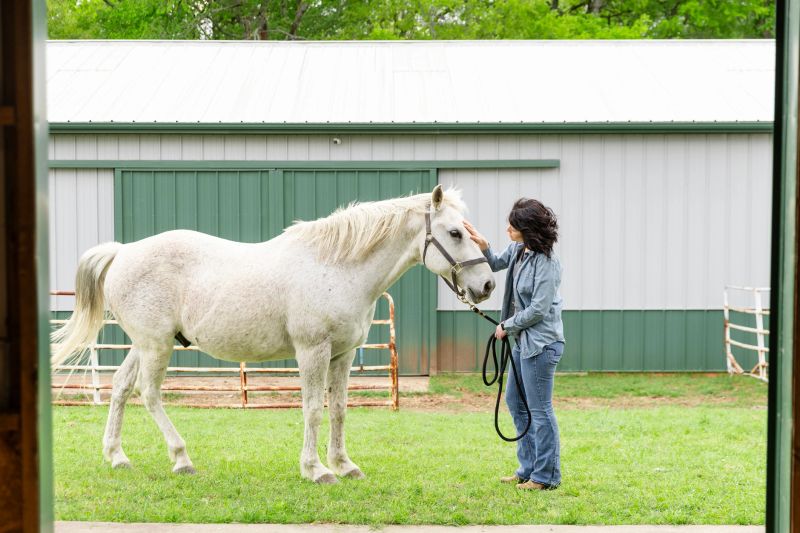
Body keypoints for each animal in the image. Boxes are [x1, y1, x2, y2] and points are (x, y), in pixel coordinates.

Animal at [52, 185, 495, 483]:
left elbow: (338, 410)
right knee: (149, 393)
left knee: (121, 387)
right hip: (156, 346)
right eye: (455, 233)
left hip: (144, 344)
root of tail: (123, 251)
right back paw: (181, 458)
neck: (336, 267)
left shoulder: (343, 355)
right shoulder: (312, 352)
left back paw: (117, 456)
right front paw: (316, 469)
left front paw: (344, 465)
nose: (488, 285)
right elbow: (313, 409)